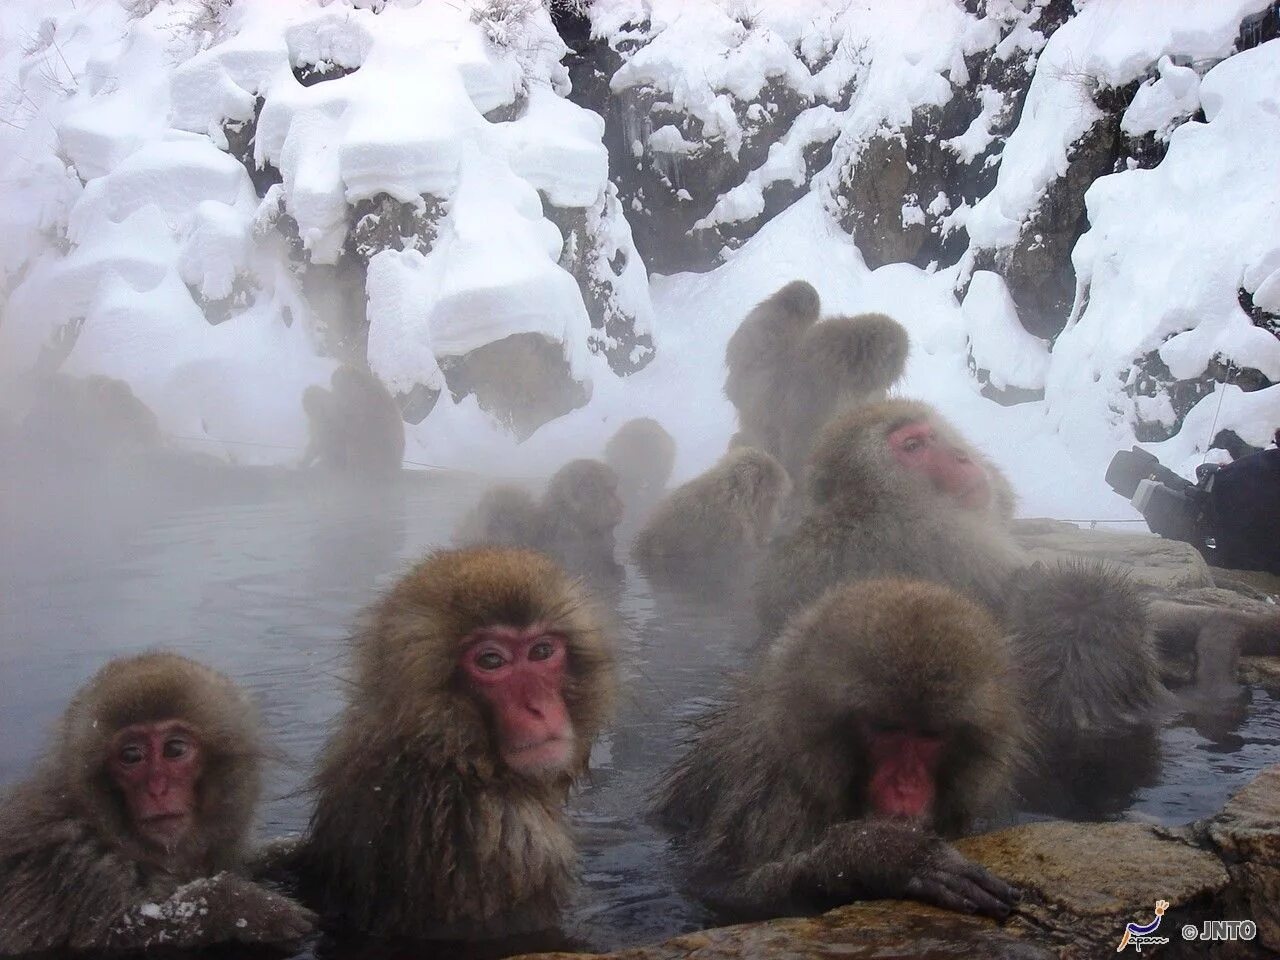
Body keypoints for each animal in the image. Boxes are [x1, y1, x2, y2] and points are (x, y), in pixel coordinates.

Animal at [0, 655, 314, 957]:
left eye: (174, 749)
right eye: (131, 755)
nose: (157, 789)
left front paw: (291, 850)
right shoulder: (74, 864)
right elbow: (116, 934)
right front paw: (240, 906)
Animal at [655, 578, 1024, 926]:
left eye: (930, 734)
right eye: (885, 727)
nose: (905, 785)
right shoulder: (767, 798)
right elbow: (723, 889)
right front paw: (887, 856)